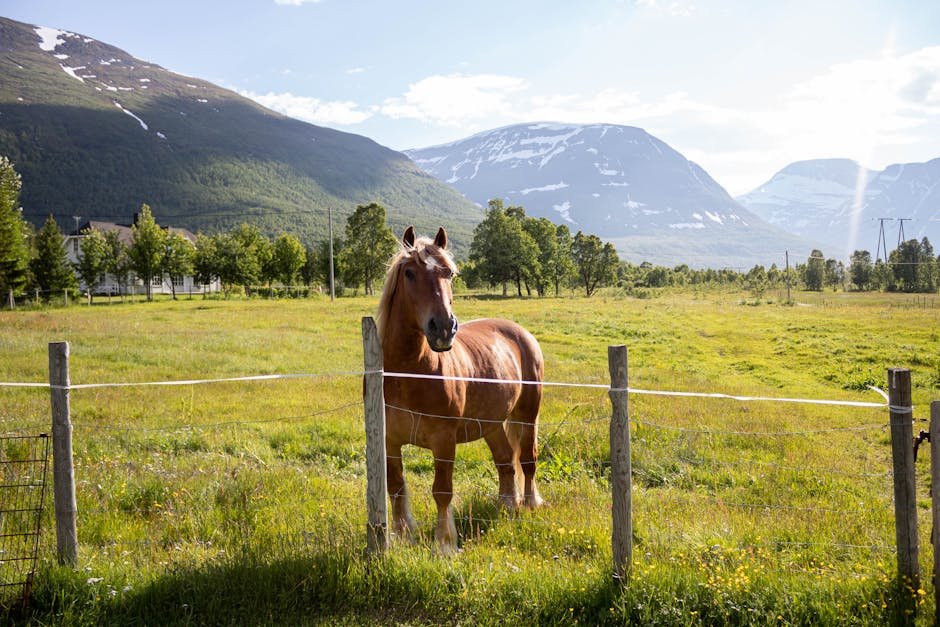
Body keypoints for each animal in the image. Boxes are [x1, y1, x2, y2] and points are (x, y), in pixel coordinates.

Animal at [376, 226, 544, 556]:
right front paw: (403, 536)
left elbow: (442, 491)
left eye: (450, 273)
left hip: (527, 415)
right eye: (410, 273)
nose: (443, 328)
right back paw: (507, 507)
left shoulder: (444, 441)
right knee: (505, 462)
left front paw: (444, 543)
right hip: (492, 424)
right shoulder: (390, 440)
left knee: (527, 460)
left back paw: (530, 504)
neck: (407, 373)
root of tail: (521, 332)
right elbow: (396, 487)